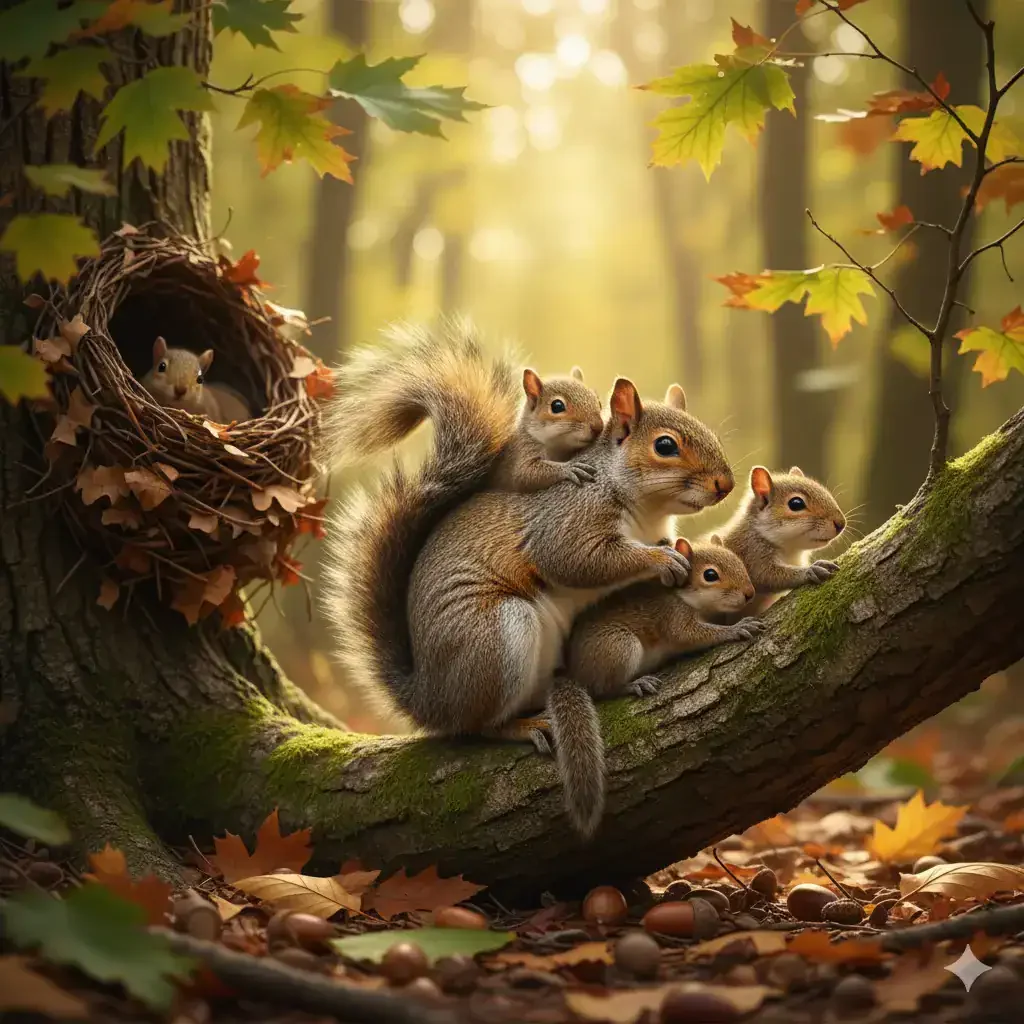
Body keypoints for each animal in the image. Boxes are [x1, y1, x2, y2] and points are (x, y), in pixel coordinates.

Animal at [322, 318, 734, 839]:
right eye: (665, 446)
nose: (727, 484)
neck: (644, 510)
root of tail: (427, 696)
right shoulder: (565, 521)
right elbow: (578, 561)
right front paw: (662, 563)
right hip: (496, 638)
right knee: (474, 728)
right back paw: (522, 727)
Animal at [556, 537, 763, 834]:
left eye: (738, 561)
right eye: (710, 575)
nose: (749, 593)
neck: (687, 597)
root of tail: (576, 672)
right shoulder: (674, 618)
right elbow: (693, 635)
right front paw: (736, 629)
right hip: (619, 646)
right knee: (602, 690)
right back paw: (634, 684)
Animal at [716, 465, 846, 617]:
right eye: (796, 504)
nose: (841, 523)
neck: (790, 549)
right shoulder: (752, 552)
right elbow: (767, 576)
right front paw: (810, 570)